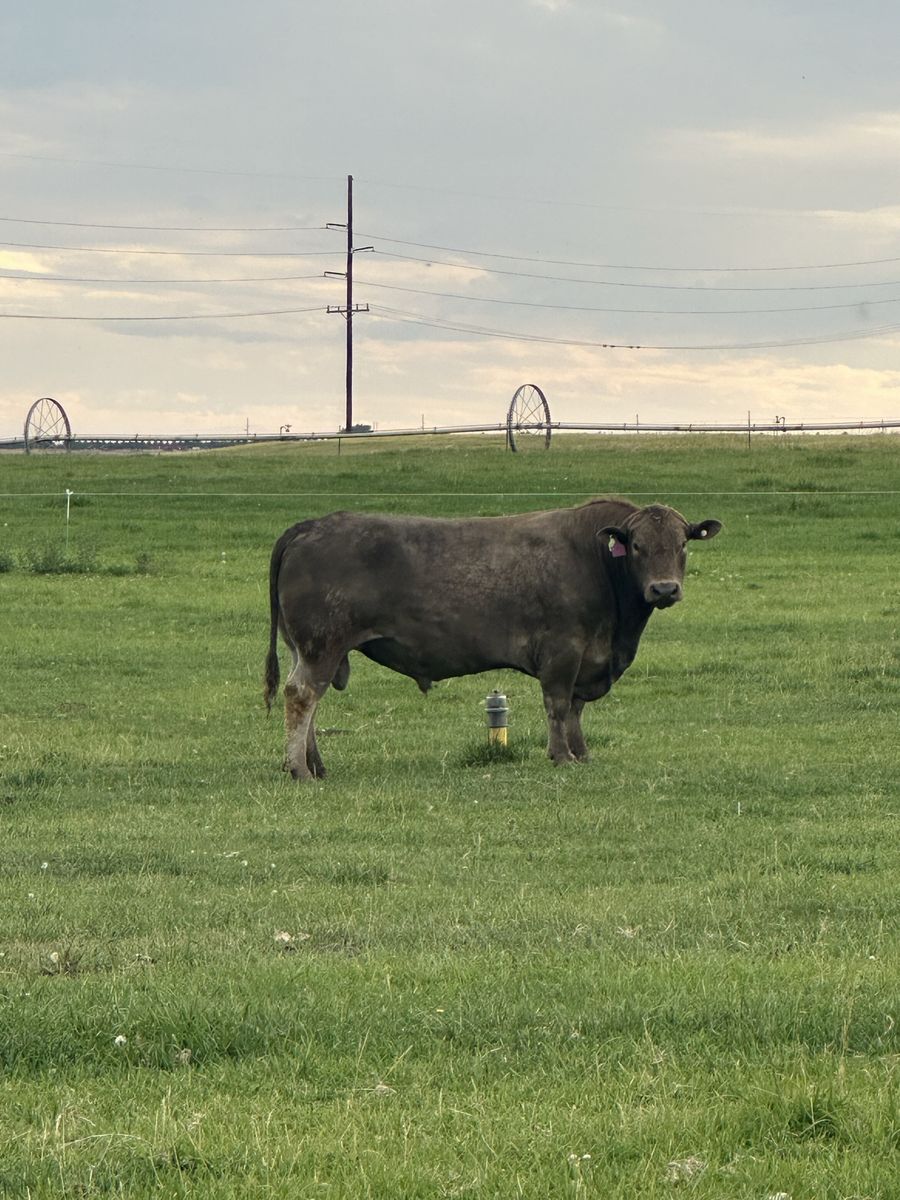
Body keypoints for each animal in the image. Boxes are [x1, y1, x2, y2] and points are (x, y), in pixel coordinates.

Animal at [263, 499, 721, 779]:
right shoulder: (563, 650)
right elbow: (558, 705)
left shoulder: (586, 658)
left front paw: (581, 752)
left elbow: (575, 709)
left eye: (682, 544)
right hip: (322, 645)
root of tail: (311, 525)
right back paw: (300, 769)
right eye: (638, 545)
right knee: (301, 696)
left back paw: (315, 765)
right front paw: (561, 756)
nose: (664, 589)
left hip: (306, 648)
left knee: (311, 702)